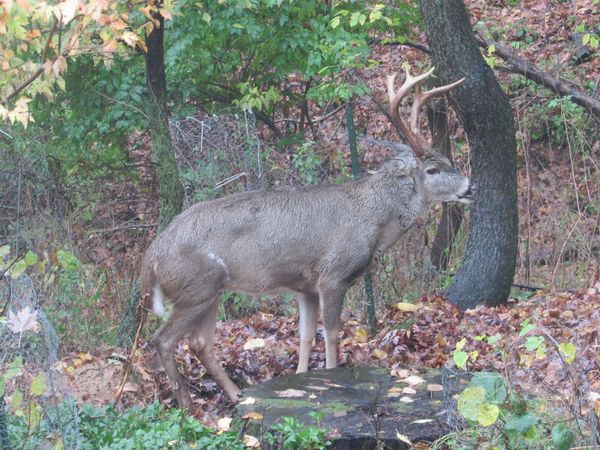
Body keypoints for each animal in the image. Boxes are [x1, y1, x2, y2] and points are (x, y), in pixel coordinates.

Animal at [139, 66, 474, 408]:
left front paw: (301, 378)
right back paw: (186, 402)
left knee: (200, 342)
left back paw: (237, 394)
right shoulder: (333, 274)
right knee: (163, 340)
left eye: (449, 161)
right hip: (194, 289)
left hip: (210, 291)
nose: (470, 187)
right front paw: (332, 376)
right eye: (432, 169)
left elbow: (305, 334)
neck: (372, 219)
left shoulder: (305, 287)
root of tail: (151, 258)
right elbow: (332, 332)